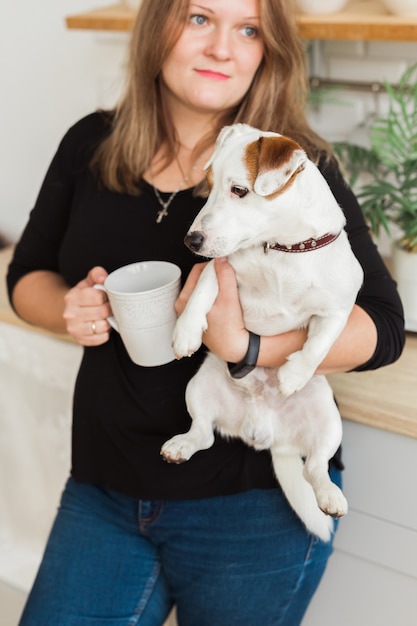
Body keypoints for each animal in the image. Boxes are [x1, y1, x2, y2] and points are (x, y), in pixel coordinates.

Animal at [161, 123, 362, 540]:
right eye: (209, 185)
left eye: (239, 190)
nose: (191, 240)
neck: (284, 250)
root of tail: (268, 436)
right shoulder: (223, 268)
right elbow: (203, 288)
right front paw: (186, 330)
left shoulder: (339, 308)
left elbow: (320, 342)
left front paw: (293, 374)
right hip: (198, 389)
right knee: (203, 433)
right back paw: (181, 446)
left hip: (328, 419)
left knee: (315, 467)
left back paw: (329, 496)